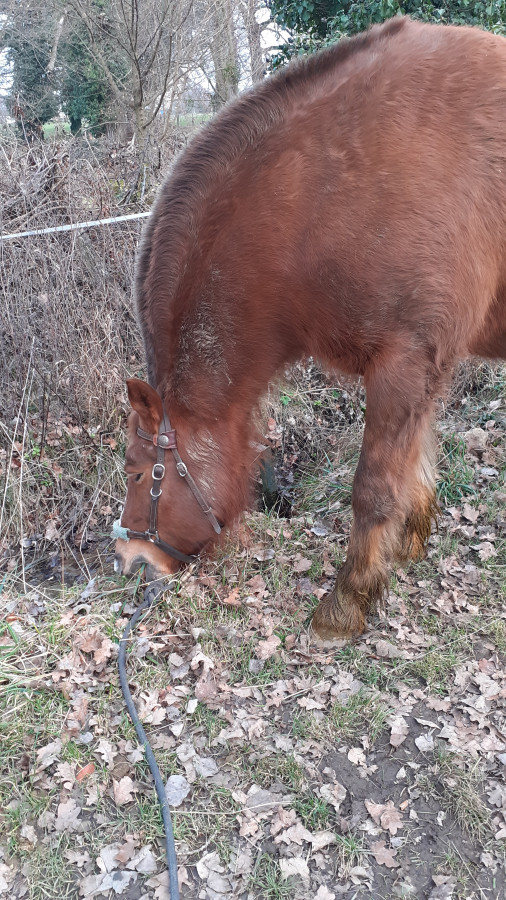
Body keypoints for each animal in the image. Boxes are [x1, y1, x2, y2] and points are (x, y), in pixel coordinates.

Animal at [114, 16, 506, 640]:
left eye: (136, 474)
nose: (129, 562)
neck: (322, 193)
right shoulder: (426, 366)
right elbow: (416, 464)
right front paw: (406, 548)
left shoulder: (403, 359)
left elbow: (373, 489)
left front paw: (346, 604)